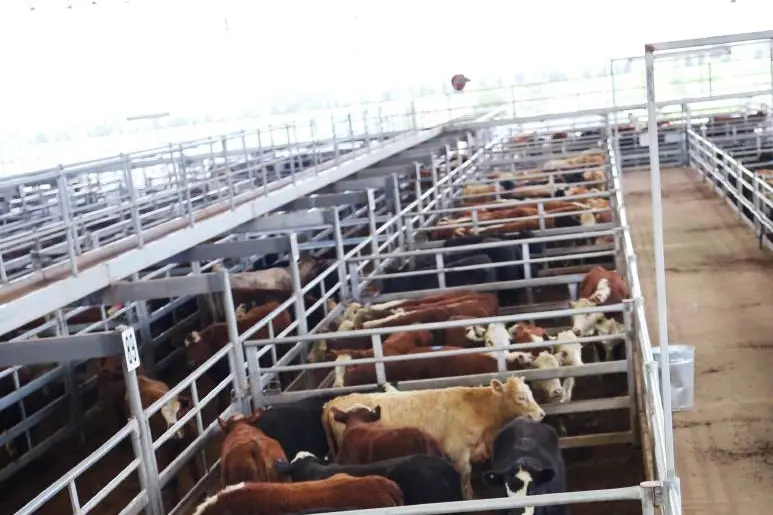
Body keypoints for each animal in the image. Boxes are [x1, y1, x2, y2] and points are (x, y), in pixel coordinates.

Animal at [322, 376, 545, 499]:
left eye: (531, 393)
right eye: (521, 397)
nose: (541, 414)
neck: (477, 408)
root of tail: (334, 401)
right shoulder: (459, 453)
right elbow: (465, 479)